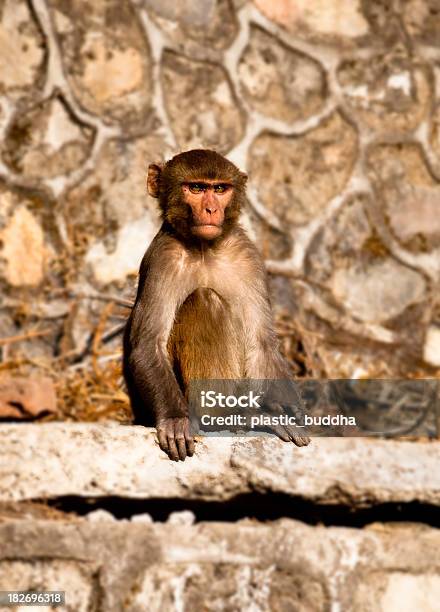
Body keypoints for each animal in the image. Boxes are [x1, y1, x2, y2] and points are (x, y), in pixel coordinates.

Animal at [122, 151, 312, 462]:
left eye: (220, 189)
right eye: (196, 188)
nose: (211, 209)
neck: (204, 249)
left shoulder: (248, 256)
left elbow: (261, 343)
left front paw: (289, 408)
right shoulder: (163, 258)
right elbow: (149, 344)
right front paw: (174, 419)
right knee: (203, 300)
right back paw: (225, 416)